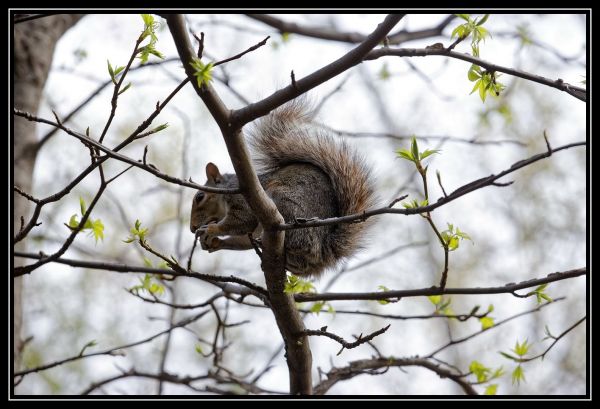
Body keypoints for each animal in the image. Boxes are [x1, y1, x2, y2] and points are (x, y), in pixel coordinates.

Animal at [190, 99, 376, 278]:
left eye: (200, 197)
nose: (192, 228)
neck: (227, 192)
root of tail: (324, 252)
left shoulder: (241, 198)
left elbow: (243, 220)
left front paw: (211, 229)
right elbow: (244, 238)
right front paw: (215, 242)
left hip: (286, 204)